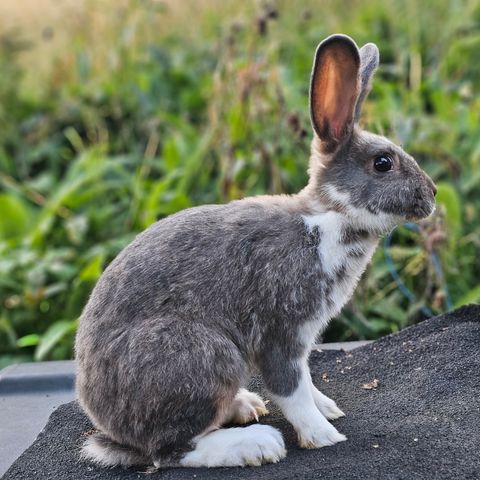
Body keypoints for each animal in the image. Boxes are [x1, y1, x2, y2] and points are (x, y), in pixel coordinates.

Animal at [74, 35, 436, 470]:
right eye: (383, 163)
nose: (432, 195)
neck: (327, 218)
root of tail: (112, 427)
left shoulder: (301, 341)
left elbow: (306, 382)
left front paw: (328, 409)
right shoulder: (281, 332)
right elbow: (290, 389)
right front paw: (324, 435)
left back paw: (245, 407)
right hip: (203, 357)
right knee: (170, 452)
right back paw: (257, 444)